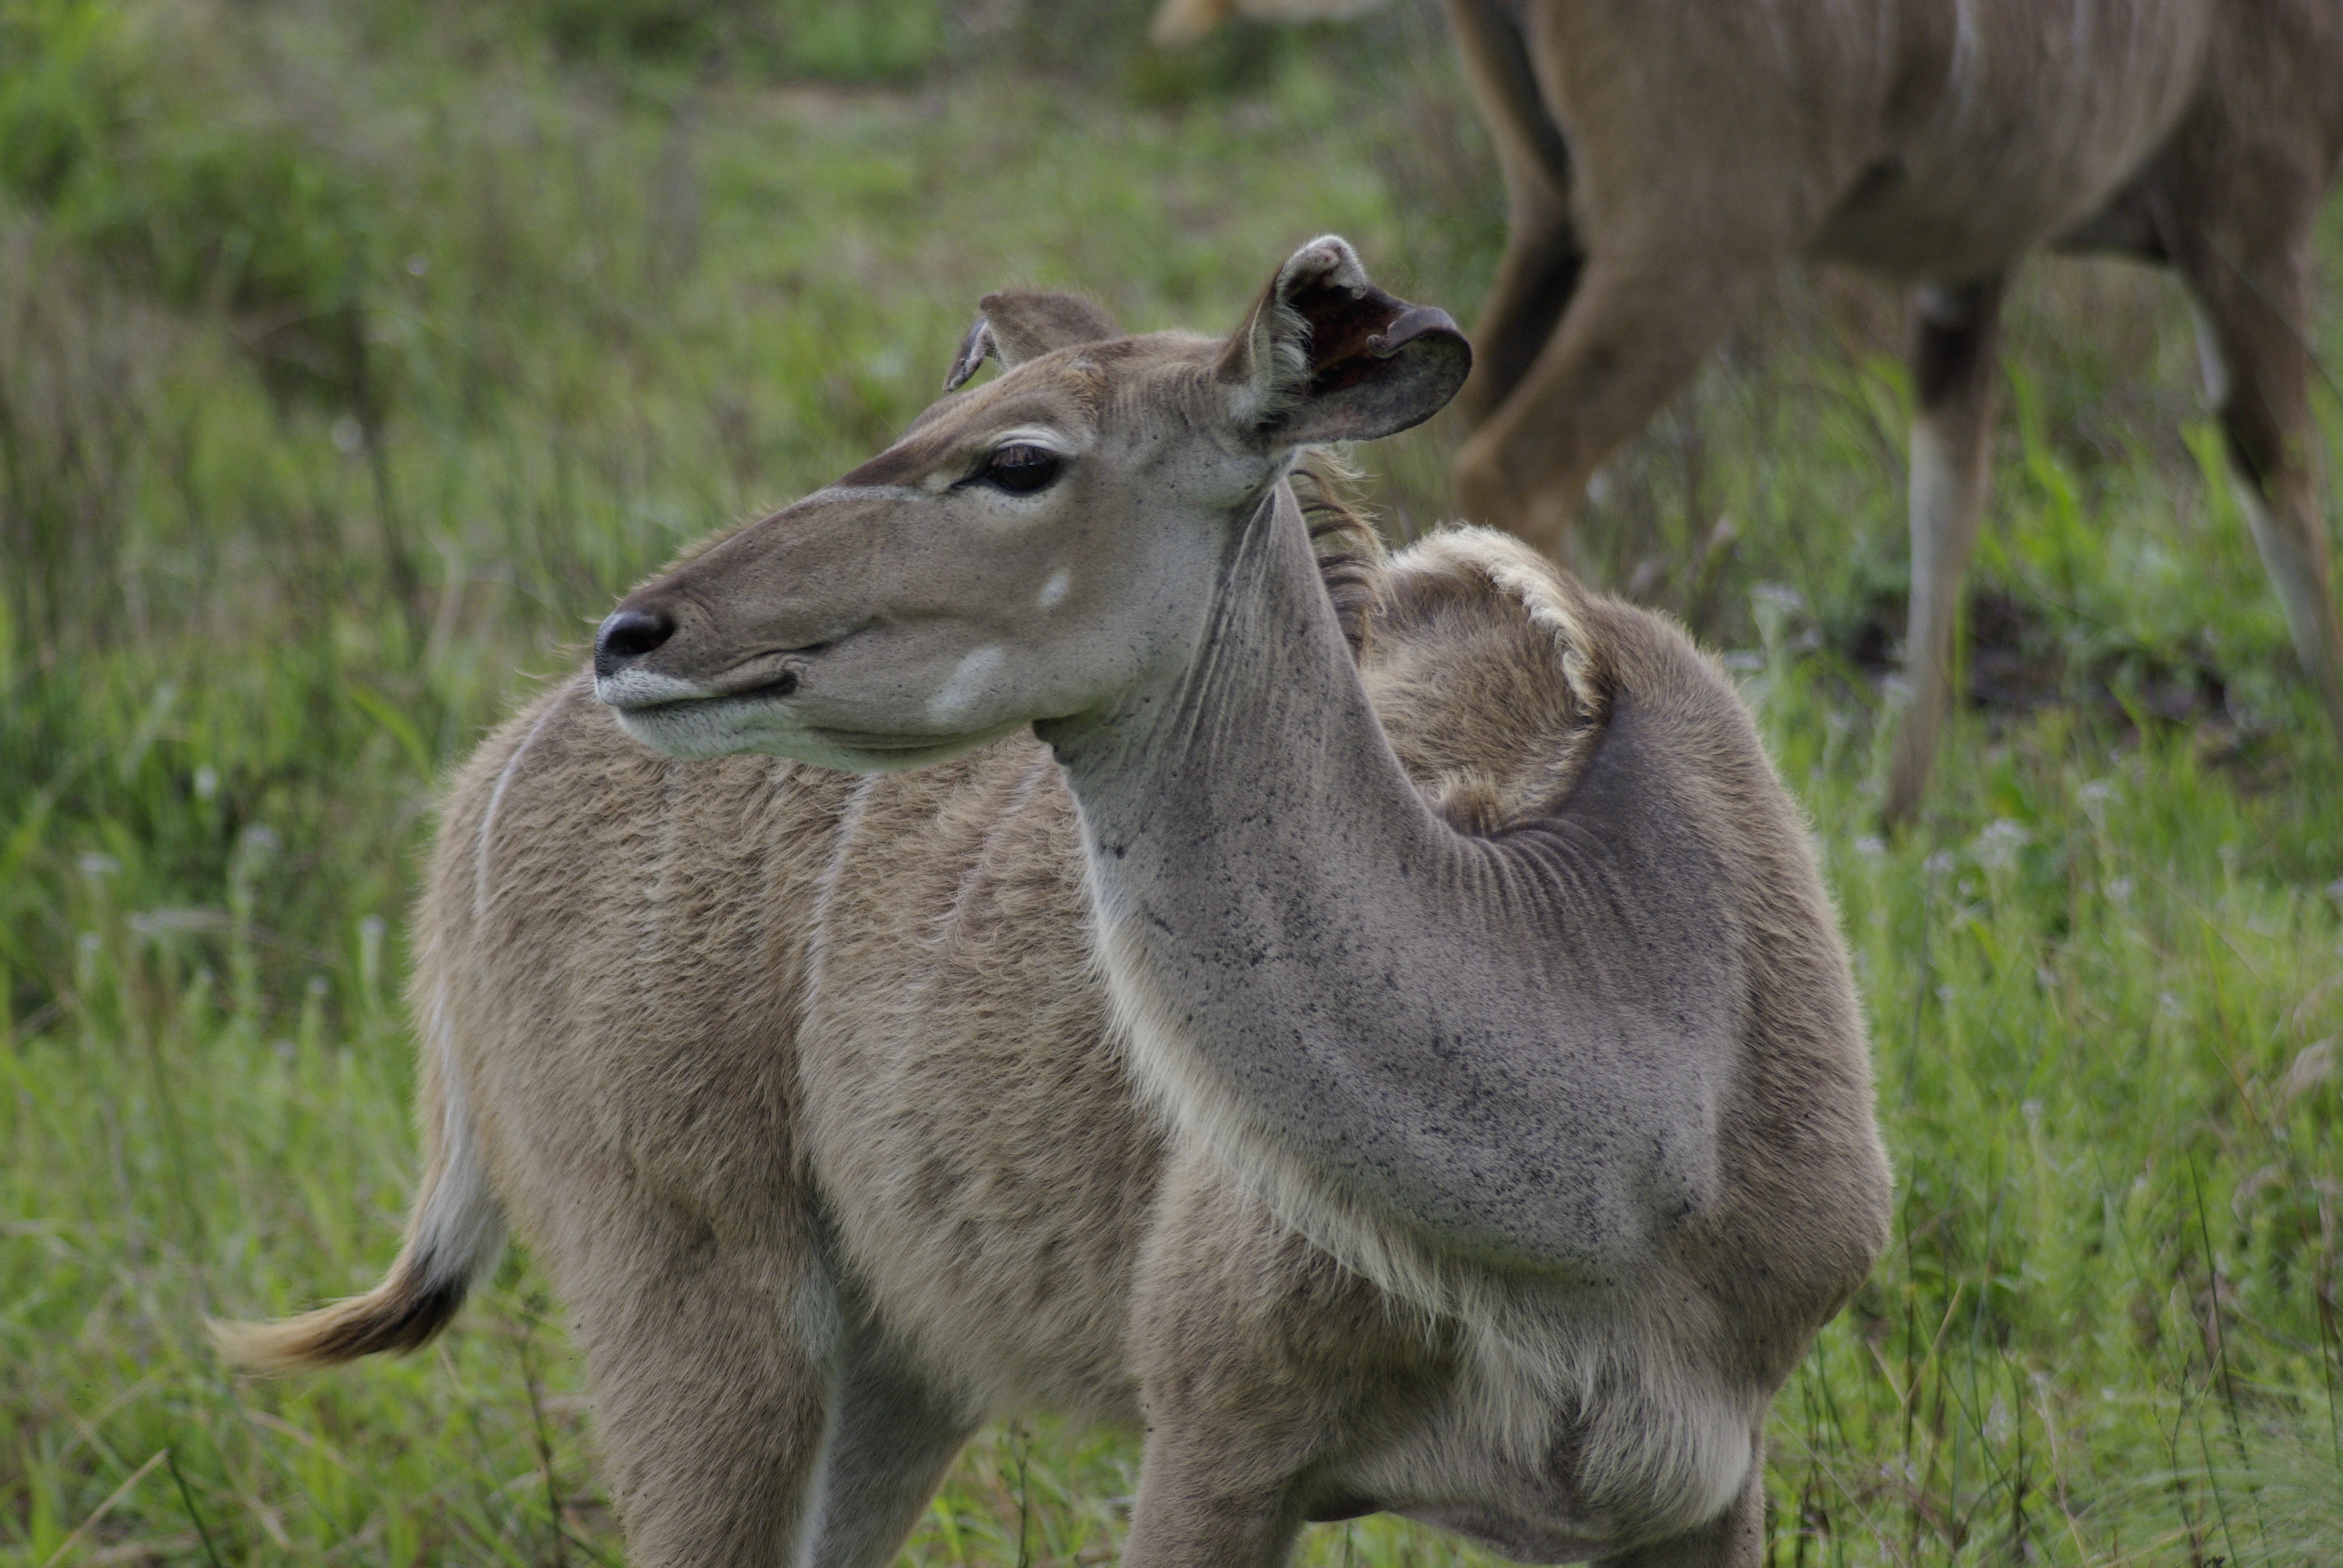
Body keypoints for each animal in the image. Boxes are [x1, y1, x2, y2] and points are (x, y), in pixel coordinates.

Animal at [217, 238, 1892, 1568]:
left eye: (1017, 458)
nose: (638, 632)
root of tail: (479, 790)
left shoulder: (1695, 1496)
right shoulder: (1215, 1439)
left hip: (890, 1373)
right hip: (694, 1311)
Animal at [1154, 0, 2343, 825]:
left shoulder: (1971, 261)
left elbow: (1947, 486)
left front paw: (1902, 811)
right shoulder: (2250, 194)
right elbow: (2276, 465)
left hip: (1553, 214)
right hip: (1702, 226)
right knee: (1525, 454)